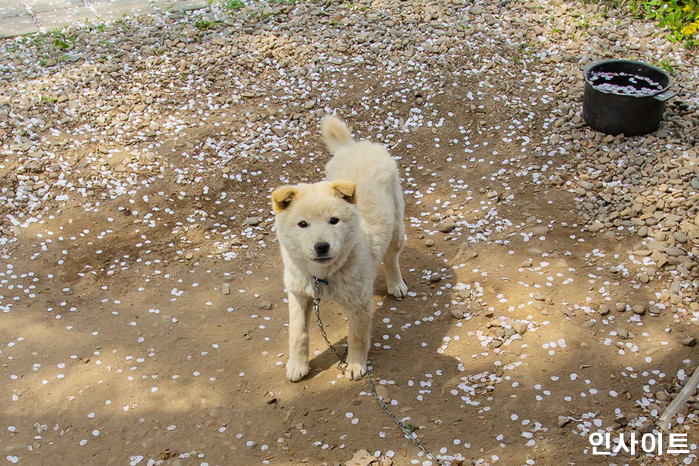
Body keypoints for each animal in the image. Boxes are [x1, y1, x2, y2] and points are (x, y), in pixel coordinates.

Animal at [270, 117, 408, 382]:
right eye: (303, 224)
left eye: (334, 221)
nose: (321, 246)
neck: (323, 277)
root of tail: (352, 145)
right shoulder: (299, 294)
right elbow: (297, 333)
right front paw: (297, 365)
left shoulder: (359, 303)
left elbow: (357, 337)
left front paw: (355, 364)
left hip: (397, 226)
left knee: (391, 257)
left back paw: (396, 283)